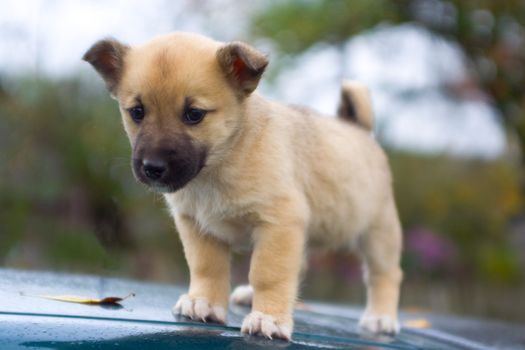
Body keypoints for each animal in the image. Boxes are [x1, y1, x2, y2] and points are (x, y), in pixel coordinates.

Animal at [83, 32, 402, 340]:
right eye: (137, 112)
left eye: (194, 114)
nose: (153, 168)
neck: (221, 163)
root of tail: (359, 129)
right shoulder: (198, 227)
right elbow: (206, 267)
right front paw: (204, 302)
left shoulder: (279, 224)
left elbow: (268, 273)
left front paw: (269, 318)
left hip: (379, 234)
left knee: (385, 275)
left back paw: (380, 317)